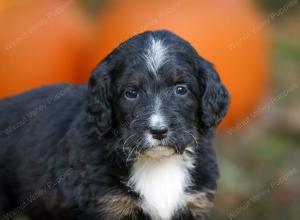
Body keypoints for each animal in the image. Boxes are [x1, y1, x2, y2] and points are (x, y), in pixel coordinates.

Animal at [0, 29, 230, 220]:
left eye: (181, 89)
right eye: (131, 93)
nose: (158, 131)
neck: (157, 163)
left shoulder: (195, 202)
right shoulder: (109, 204)